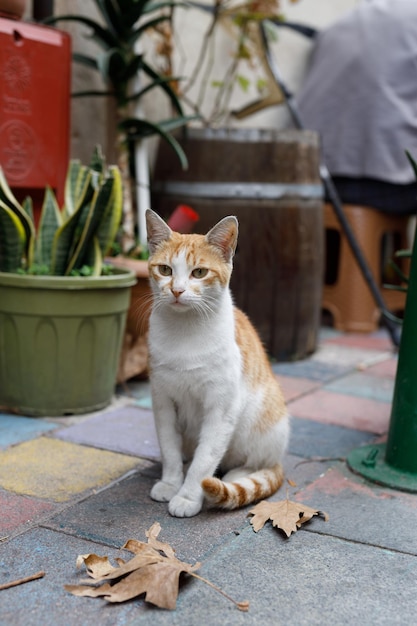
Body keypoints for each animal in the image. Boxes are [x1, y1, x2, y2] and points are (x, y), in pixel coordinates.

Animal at [145, 210, 288, 516]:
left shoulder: (221, 409)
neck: (184, 332)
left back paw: (235, 475)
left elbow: (205, 460)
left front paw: (188, 497)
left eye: (199, 272)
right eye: (165, 270)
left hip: (259, 427)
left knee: (256, 464)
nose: (177, 291)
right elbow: (170, 449)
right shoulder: (163, 402)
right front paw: (171, 482)